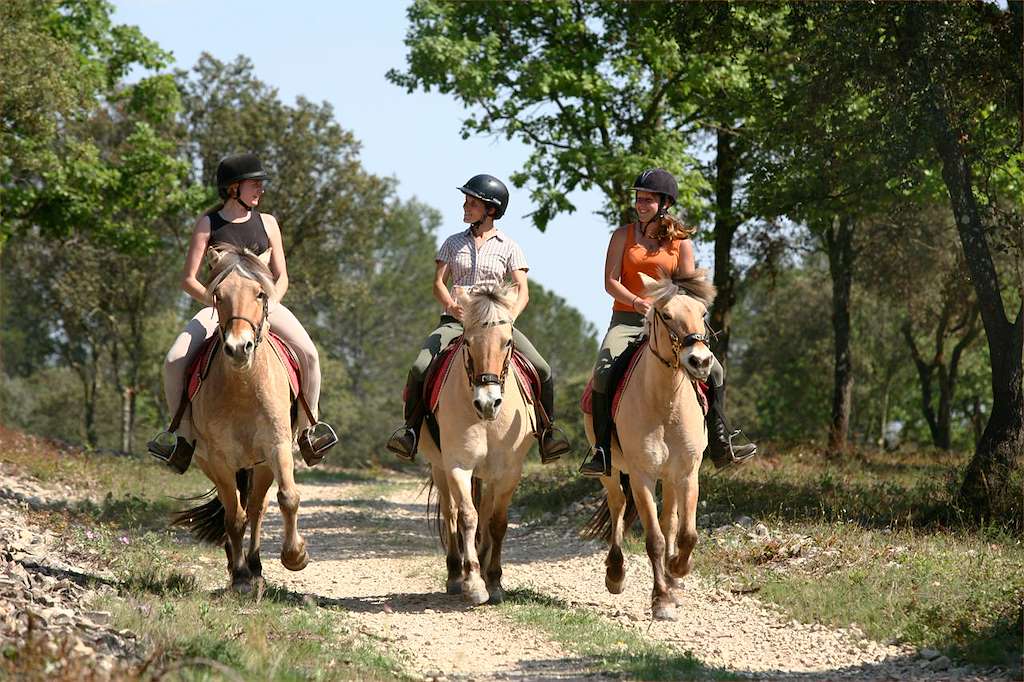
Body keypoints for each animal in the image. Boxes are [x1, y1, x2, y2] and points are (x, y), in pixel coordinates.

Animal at [171, 242, 307, 589]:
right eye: (218, 294)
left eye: (260, 293)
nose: (238, 348)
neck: (243, 387)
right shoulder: (219, 460)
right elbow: (233, 517)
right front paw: (240, 576)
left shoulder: (277, 447)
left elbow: (288, 497)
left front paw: (295, 556)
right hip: (216, 464)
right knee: (235, 510)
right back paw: (239, 569)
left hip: (260, 466)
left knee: (257, 508)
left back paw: (256, 565)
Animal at [421, 284, 536, 602]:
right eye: (468, 343)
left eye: (508, 342)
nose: (487, 403)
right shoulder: (458, 466)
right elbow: (467, 517)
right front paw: (473, 582)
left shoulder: (509, 471)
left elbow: (496, 522)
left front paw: (493, 580)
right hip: (440, 467)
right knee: (451, 513)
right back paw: (455, 574)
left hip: (490, 474)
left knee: (485, 512)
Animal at [585, 268, 720, 618]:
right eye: (666, 314)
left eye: (703, 313)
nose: (700, 361)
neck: (666, 402)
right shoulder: (642, 476)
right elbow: (654, 540)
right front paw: (661, 599)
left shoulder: (687, 473)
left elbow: (686, 533)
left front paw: (677, 573)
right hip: (612, 473)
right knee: (618, 507)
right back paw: (615, 573)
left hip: (669, 478)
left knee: (670, 520)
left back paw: (672, 580)